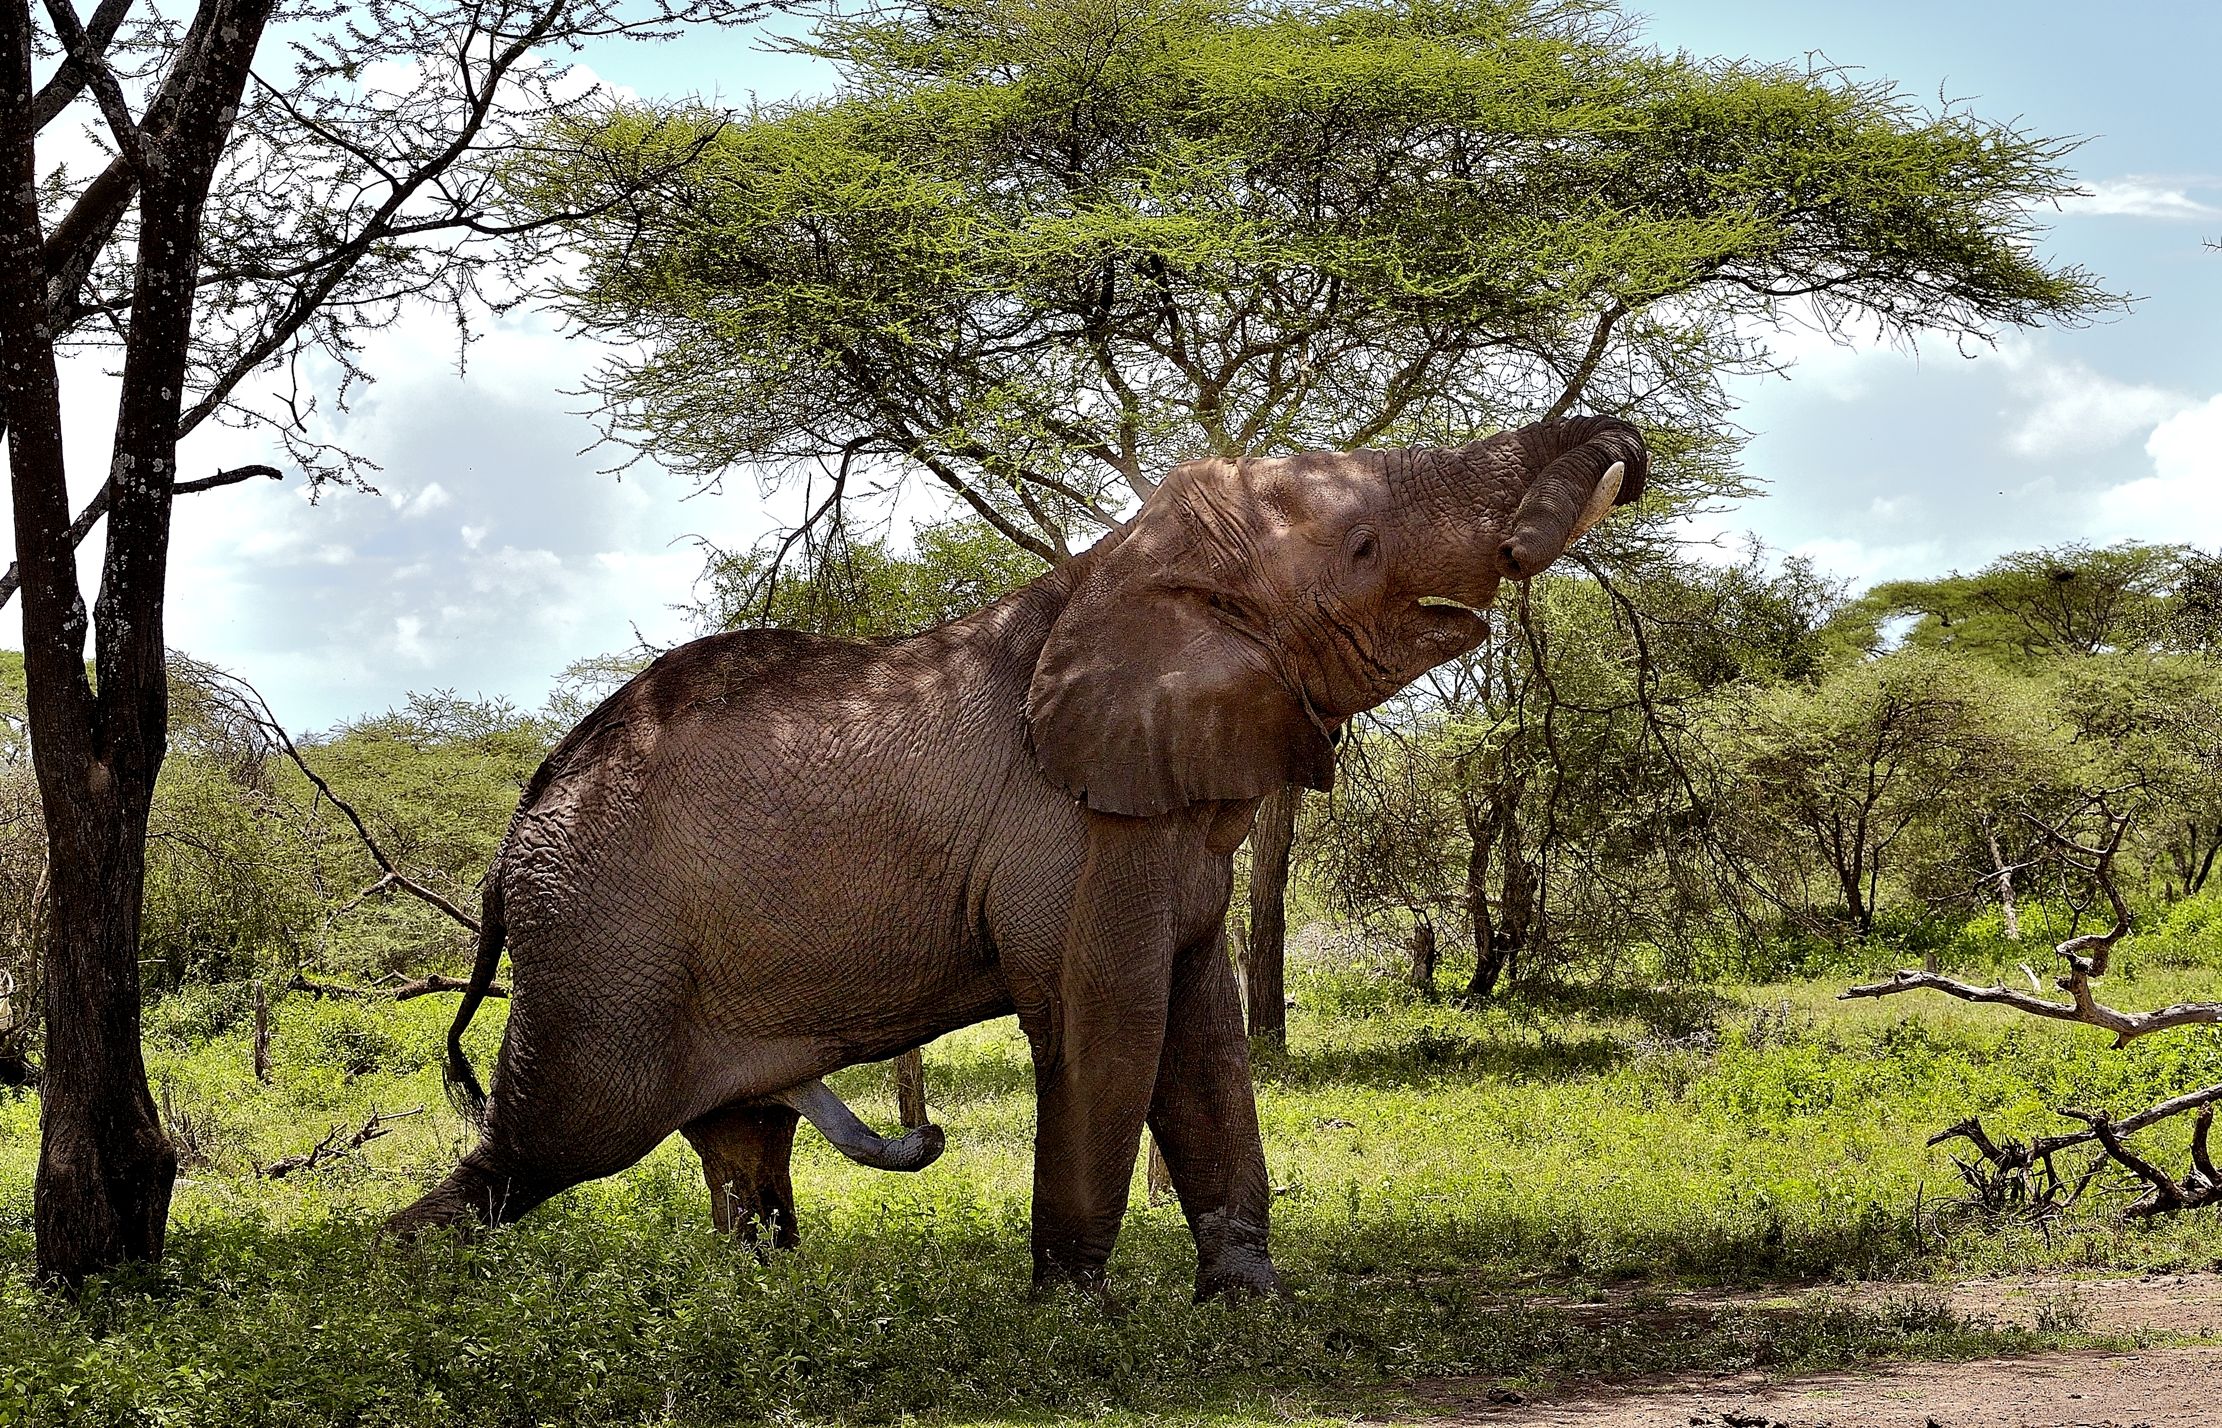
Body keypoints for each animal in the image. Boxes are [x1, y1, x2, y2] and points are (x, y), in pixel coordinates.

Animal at [389, 414, 1648, 1299]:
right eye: (1363, 544)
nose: (1623, 454)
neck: (1113, 566)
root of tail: (517, 828)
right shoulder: (1068, 833)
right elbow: (1108, 1016)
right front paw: (1075, 1315)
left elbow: (1203, 1031)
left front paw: (1247, 1308)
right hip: (604, 947)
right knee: (549, 1143)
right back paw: (383, 1288)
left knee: (741, 1152)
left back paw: (754, 1308)